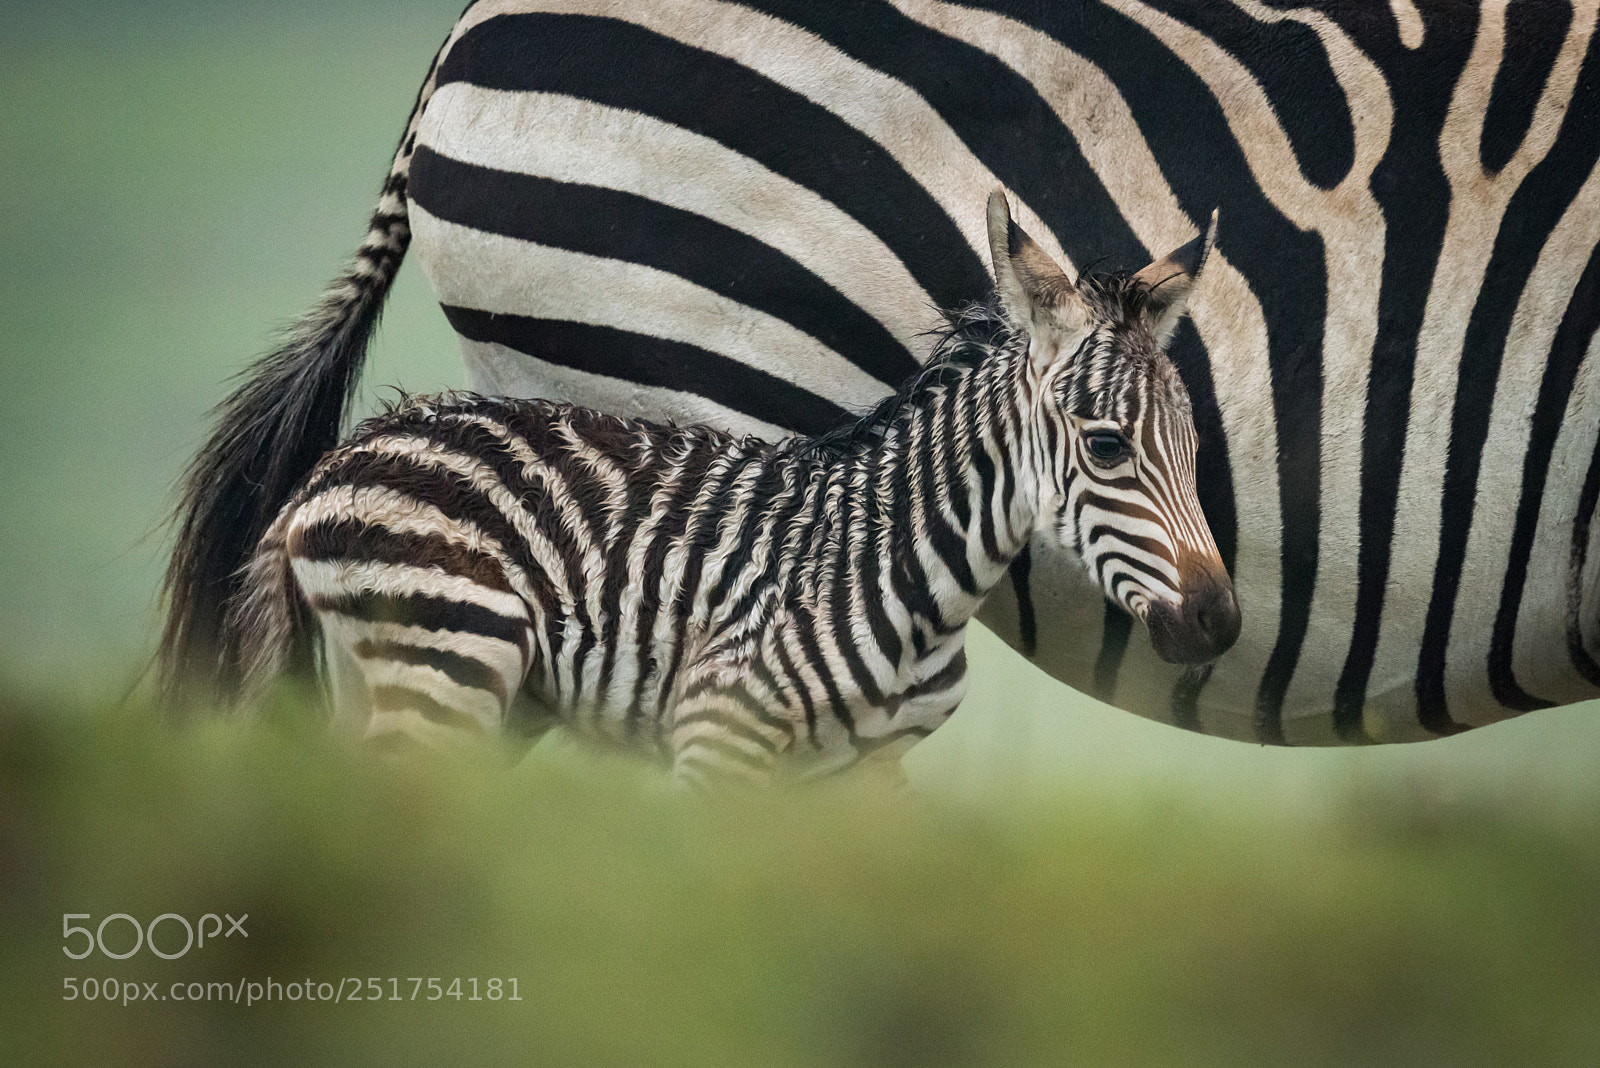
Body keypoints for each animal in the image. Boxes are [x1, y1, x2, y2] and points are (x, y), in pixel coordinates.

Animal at [216, 192, 1235, 782]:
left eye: (1193, 450)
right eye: (1106, 447)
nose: (1218, 623)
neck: (910, 573)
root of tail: (330, 469)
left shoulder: (861, 781)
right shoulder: (719, 738)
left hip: (393, 684)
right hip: (447, 669)